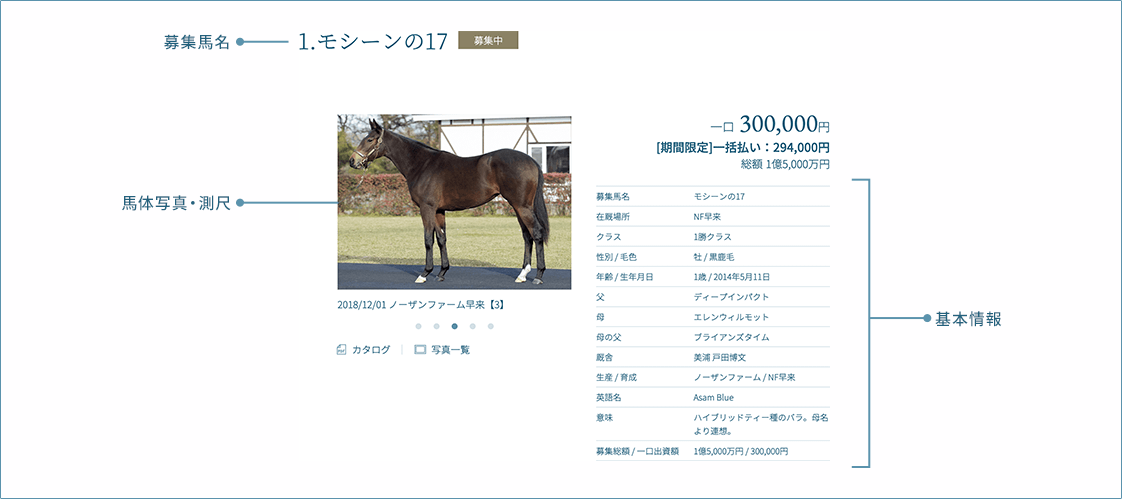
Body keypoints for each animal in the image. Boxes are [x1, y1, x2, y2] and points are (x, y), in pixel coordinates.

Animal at [349, 118, 550, 284]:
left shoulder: (427, 208)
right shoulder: (439, 210)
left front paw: (425, 273)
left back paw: (538, 276)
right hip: (519, 207)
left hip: (522, 206)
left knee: (536, 233)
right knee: (527, 236)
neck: (422, 164)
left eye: (369, 139)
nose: (352, 161)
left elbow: (428, 239)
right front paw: (441, 272)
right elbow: (441, 239)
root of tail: (531, 161)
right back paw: (522, 274)